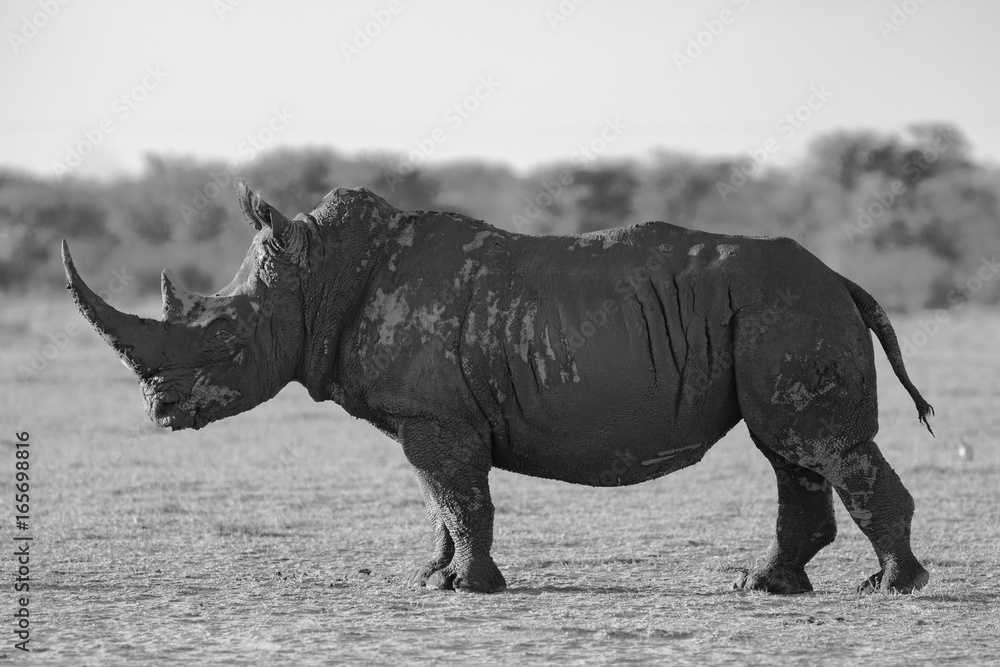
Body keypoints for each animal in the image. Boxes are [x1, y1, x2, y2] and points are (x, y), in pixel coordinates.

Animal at [63, 182, 934, 595]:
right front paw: (434, 576)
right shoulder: (434, 418)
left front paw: (466, 589)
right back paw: (766, 585)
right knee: (790, 452)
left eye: (228, 344)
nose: (158, 411)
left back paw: (892, 589)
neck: (319, 275)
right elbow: (443, 502)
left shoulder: (434, 418)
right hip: (777, 311)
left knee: (817, 446)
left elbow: (459, 497)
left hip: (788, 309)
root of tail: (842, 279)